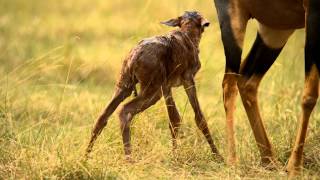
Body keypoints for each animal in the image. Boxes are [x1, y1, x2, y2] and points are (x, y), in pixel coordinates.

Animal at [86, 10, 224, 161]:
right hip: (151, 91)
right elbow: (198, 118)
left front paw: (175, 154)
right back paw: (129, 159)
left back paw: (85, 157)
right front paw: (218, 156)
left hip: (126, 86)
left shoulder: (166, 86)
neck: (187, 36)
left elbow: (174, 119)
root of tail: (134, 56)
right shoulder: (188, 80)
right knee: (124, 110)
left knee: (103, 116)